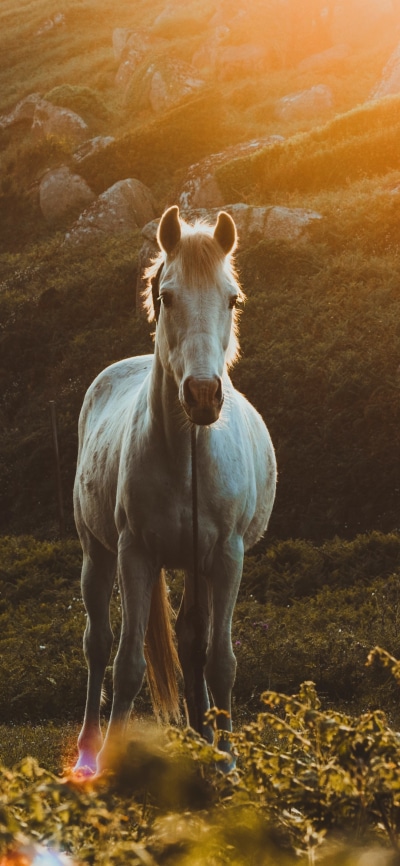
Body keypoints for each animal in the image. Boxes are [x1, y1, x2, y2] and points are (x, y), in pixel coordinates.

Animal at [73, 205, 276, 774]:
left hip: (196, 565)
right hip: (97, 553)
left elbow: (220, 661)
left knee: (191, 645)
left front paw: (226, 762)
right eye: (166, 296)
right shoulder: (135, 554)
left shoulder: (226, 557)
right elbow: (127, 665)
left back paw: (202, 739)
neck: (187, 454)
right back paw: (88, 752)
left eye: (232, 299)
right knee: (98, 645)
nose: (203, 395)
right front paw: (111, 766)